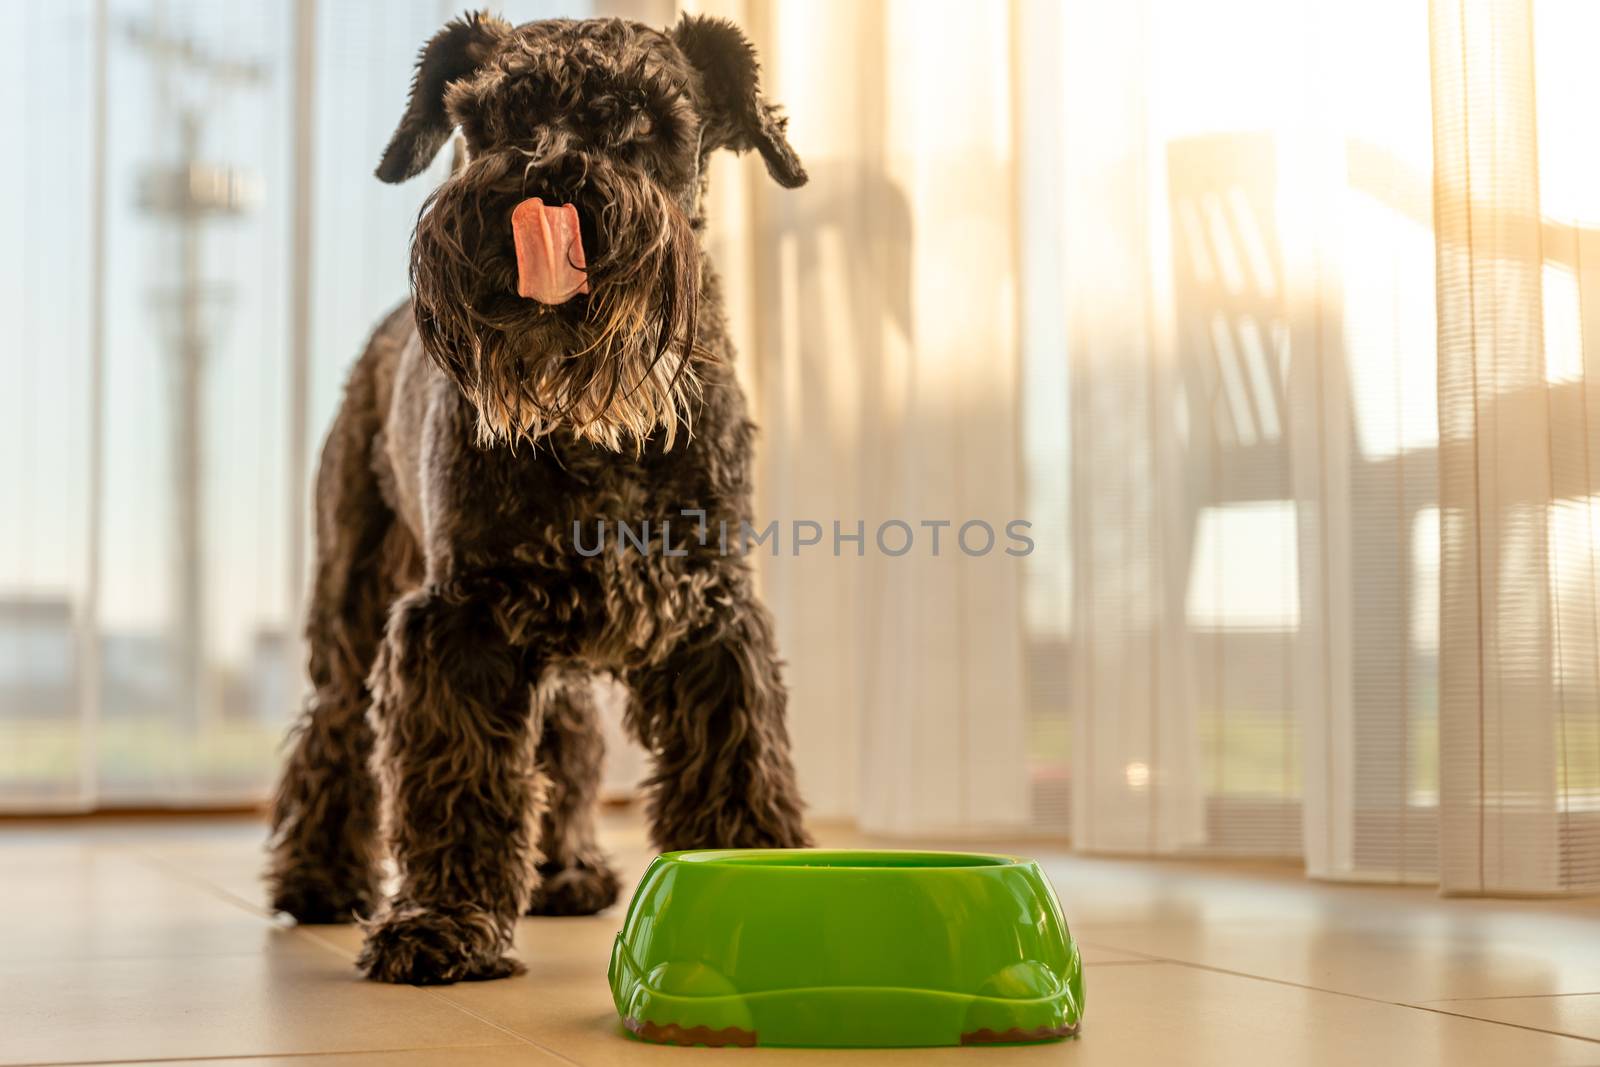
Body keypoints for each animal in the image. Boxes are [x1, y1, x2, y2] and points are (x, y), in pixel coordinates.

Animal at [267, 12, 812, 991]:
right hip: (351, 599)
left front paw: (756, 886)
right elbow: (459, 779)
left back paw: (565, 870)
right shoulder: (460, 619)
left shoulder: (711, 615)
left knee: (566, 736)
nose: (549, 180)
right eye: (493, 118)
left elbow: (736, 758)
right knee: (333, 727)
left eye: (646, 120)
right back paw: (318, 878)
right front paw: (444, 921)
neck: (589, 424)